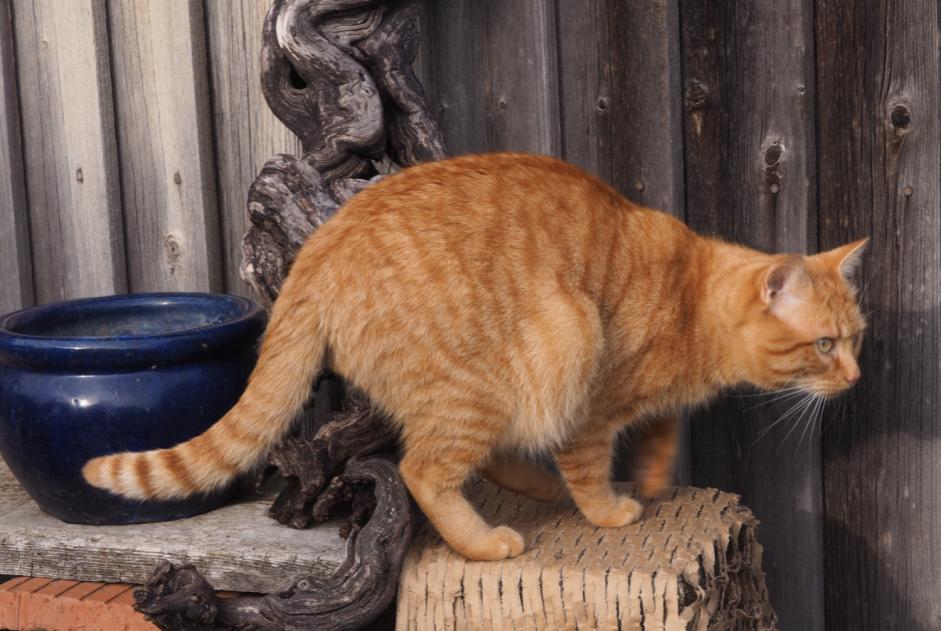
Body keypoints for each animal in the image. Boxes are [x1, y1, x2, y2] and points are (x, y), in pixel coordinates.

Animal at [82, 153, 868, 564]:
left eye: (855, 336)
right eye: (825, 344)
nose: (856, 376)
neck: (688, 296)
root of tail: (321, 245)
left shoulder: (645, 403)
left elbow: (660, 433)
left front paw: (649, 478)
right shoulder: (591, 403)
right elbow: (591, 463)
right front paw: (612, 510)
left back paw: (531, 487)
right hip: (545, 343)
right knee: (423, 469)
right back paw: (487, 541)